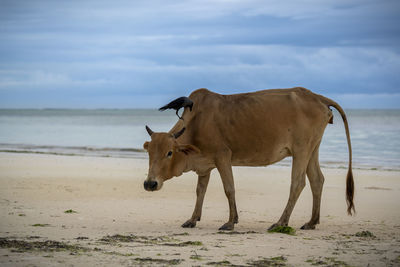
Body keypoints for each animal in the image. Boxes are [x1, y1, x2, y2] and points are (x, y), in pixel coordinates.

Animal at [143, 88, 354, 232]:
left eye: (169, 152)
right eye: (149, 153)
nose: (150, 183)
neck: (196, 122)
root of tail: (316, 96)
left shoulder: (222, 156)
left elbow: (229, 188)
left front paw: (230, 222)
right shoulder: (205, 166)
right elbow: (200, 191)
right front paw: (193, 219)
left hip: (301, 149)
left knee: (298, 183)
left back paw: (281, 222)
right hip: (312, 149)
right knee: (317, 180)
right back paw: (311, 222)